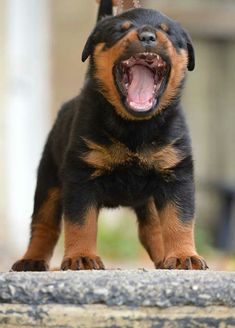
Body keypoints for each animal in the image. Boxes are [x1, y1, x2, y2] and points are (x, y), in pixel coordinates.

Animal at [12, 2, 207, 272]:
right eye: (120, 30)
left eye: (167, 31)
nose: (148, 36)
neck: (134, 127)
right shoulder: (80, 176)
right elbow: (81, 223)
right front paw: (81, 257)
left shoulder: (176, 175)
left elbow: (179, 220)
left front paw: (182, 255)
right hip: (49, 179)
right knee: (43, 224)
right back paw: (31, 259)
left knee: (153, 230)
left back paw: (164, 258)